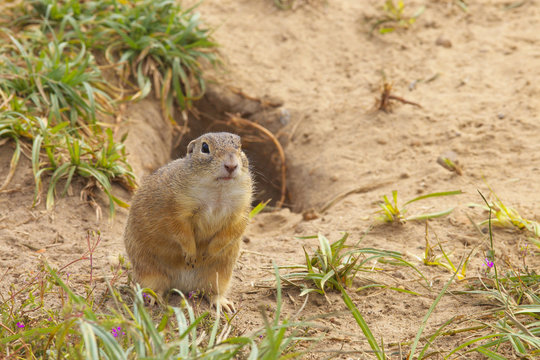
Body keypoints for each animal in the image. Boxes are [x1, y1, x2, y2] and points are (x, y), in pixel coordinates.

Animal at [124, 132, 253, 312]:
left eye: (240, 147)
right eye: (205, 147)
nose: (231, 166)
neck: (218, 191)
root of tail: (183, 286)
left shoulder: (239, 211)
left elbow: (231, 231)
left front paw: (208, 253)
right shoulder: (176, 210)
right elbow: (181, 232)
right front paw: (192, 255)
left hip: (220, 276)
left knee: (212, 292)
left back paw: (223, 304)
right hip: (148, 270)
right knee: (154, 287)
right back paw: (153, 299)